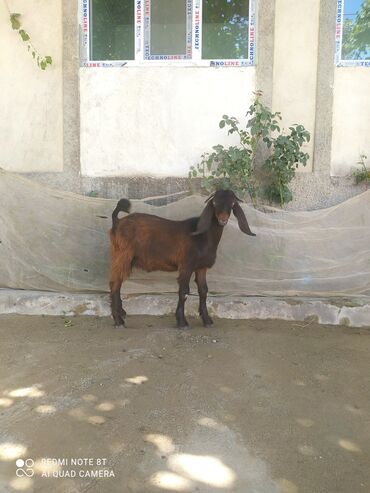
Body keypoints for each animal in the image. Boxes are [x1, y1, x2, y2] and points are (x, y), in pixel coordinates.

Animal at [108, 188, 256, 326]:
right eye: (214, 203)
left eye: (232, 204)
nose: (223, 219)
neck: (203, 237)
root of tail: (117, 222)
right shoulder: (186, 265)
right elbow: (184, 292)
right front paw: (182, 322)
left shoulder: (201, 267)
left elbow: (203, 290)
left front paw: (207, 320)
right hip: (122, 255)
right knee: (115, 284)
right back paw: (118, 321)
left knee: (118, 283)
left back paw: (121, 313)